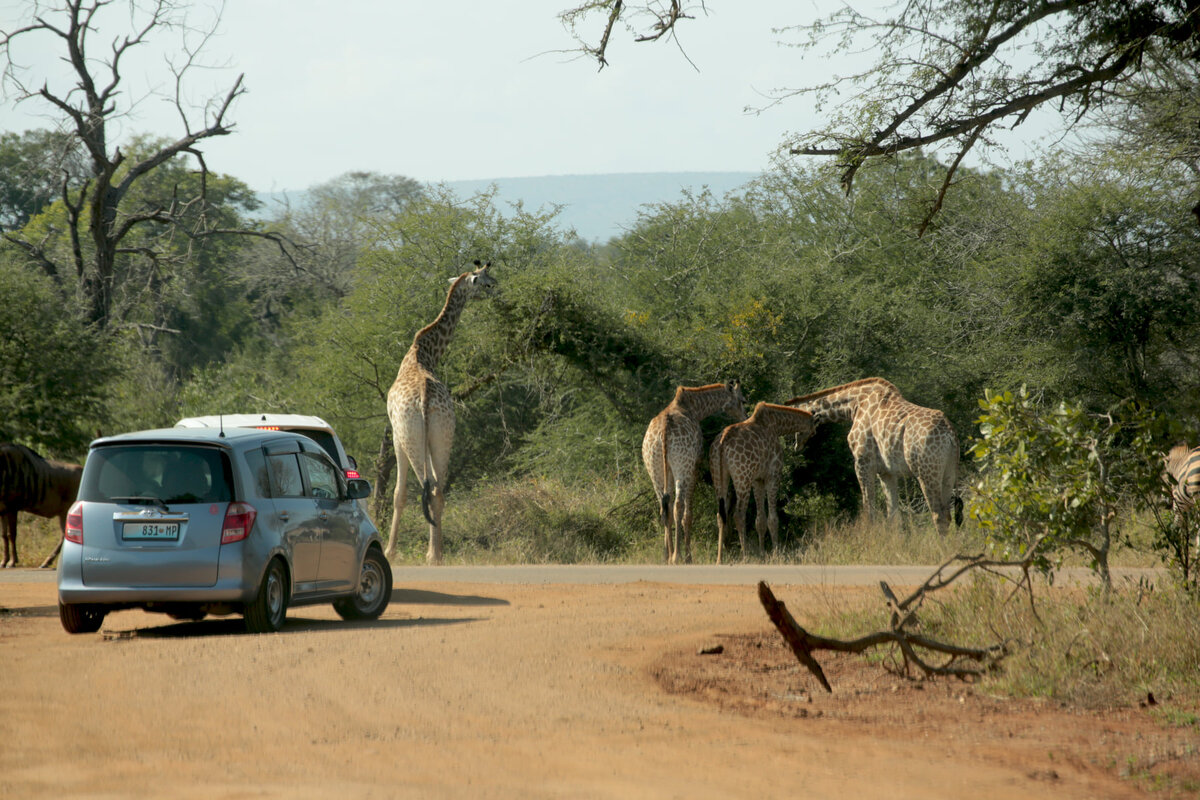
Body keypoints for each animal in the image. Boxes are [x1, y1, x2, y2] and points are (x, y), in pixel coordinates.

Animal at [386, 257, 494, 563]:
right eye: (488, 283)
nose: (499, 292)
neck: (423, 353)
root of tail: (424, 400)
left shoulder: (396, 435)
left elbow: (399, 493)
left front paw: (389, 551)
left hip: (412, 437)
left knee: (427, 487)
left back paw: (431, 553)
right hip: (443, 434)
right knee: (438, 489)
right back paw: (437, 552)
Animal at [643, 381, 744, 563]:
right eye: (743, 400)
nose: (745, 416)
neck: (695, 408)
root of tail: (664, 430)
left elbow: (668, 508)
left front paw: (668, 555)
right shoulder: (695, 466)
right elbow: (687, 514)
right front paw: (687, 557)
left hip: (654, 470)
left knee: (664, 507)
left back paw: (667, 557)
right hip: (682, 467)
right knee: (678, 506)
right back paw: (676, 557)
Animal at [710, 400, 816, 563]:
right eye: (812, 432)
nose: (798, 447)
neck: (777, 425)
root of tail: (721, 443)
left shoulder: (757, 479)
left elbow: (760, 520)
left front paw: (762, 553)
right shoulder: (773, 475)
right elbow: (773, 519)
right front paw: (777, 552)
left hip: (719, 476)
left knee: (720, 515)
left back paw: (720, 558)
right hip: (742, 477)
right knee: (738, 515)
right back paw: (745, 555)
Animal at [782, 376, 960, 537]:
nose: (796, 446)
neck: (854, 406)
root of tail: (950, 433)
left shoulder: (862, 462)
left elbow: (868, 508)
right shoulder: (886, 472)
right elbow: (893, 516)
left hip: (925, 472)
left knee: (938, 515)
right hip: (949, 472)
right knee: (947, 514)